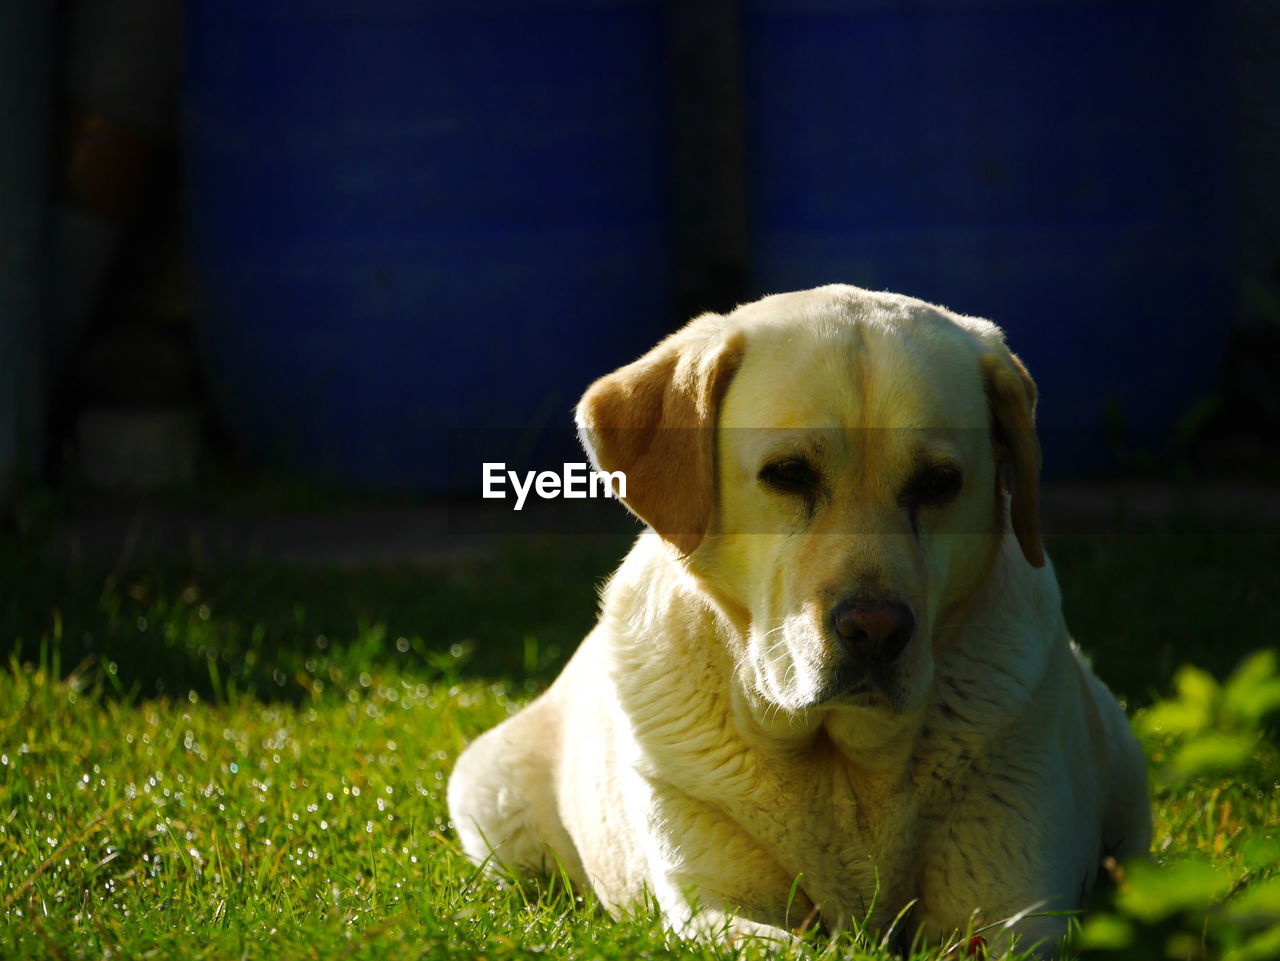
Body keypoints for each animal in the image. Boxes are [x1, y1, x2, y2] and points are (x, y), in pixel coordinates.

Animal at [448, 284, 1152, 957]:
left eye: (938, 483)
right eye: (787, 474)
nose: (875, 630)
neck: (840, 760)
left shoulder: (1017, 908)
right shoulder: (712, 906)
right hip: (491, 810)